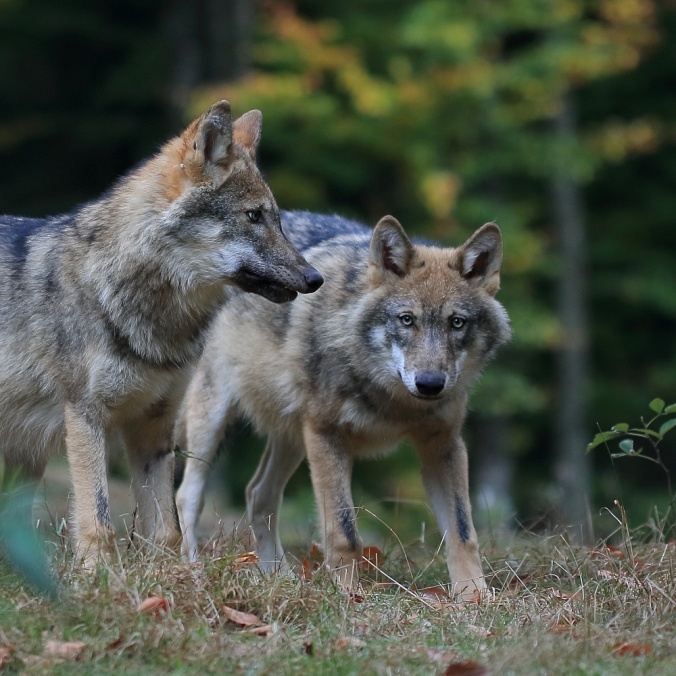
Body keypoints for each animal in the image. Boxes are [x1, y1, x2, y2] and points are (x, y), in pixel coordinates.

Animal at [0, 100, 324, 564]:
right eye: (253, 216)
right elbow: (98, 518)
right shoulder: (84, 416)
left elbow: (167, 529)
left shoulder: (154, 425)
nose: (315, 278)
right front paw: (98, 573)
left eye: (277, 220)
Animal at [177, 210, 510, 596]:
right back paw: (195, 573)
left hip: (293, 436)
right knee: (188, 495)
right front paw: (348, 594)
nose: (429, 385)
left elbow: (462, 531)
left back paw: (281, 579)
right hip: (213, 421)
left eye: (456, 323)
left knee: (258, 494)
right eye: (406, 319)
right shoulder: (327, 434)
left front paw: (474, 596)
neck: (394, 401)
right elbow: (344, 530)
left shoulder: (444, 445)